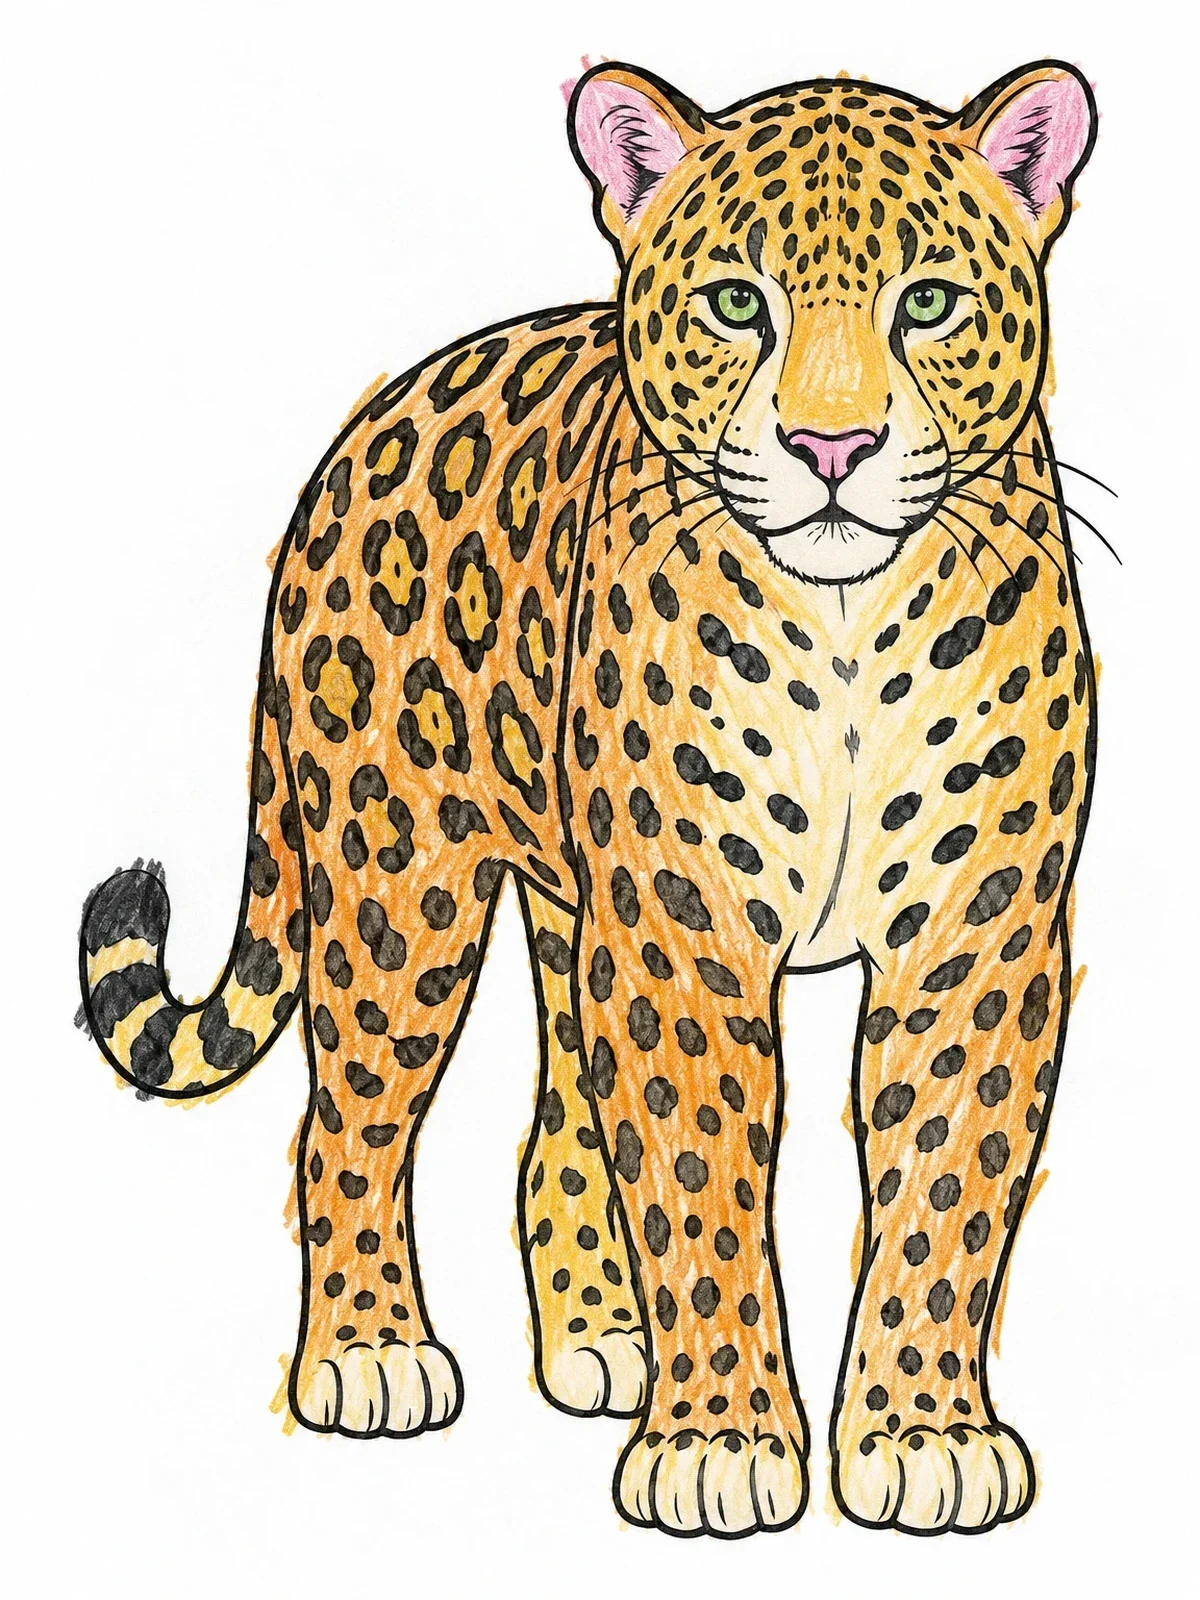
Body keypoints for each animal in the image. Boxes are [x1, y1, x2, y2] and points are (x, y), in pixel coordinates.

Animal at [78, 59, 1099, 1538]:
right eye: (737, 302)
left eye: (929, 304)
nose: (832, 445)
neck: (847, 621)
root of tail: (348, 446)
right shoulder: (681, 926)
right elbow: (701, 1173)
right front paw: (723, 1441)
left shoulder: (979, 927)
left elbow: (944, 1188)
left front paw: (922, 1434)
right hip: (401, 880)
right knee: (347, 1125)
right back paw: (370, 1353)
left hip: (569, 907)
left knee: (556, 1119)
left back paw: (603, 1344)